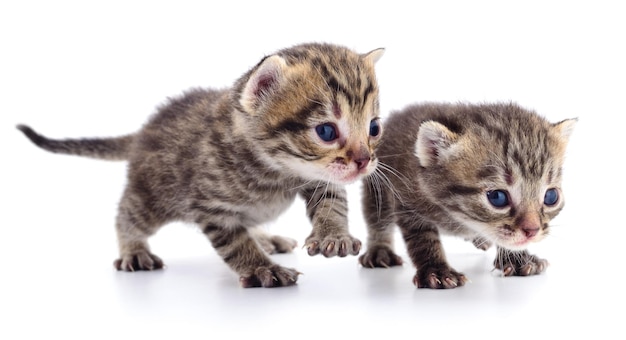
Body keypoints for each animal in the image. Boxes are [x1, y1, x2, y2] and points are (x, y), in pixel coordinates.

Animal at [17, 41, 382, 286]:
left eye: (374, 128)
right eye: (326, 131)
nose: (364, 161)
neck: (276, 170)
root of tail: (143, 131)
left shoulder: (318, 177)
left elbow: (332, 201)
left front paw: (334, 235)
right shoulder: (211, 206)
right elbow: (235, 242)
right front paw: (262, 268)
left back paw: (266, 237)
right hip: (152, 196)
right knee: (127, 214)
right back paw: (134, 250)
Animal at [360, 102, 576, 288]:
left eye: (551, 197)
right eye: (497, 197)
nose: (532, 230)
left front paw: (517, 259)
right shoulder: (407, 201)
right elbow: (422, 239)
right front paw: (436, 270)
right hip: (377, 186)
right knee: (378, 219)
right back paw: (380, 250)